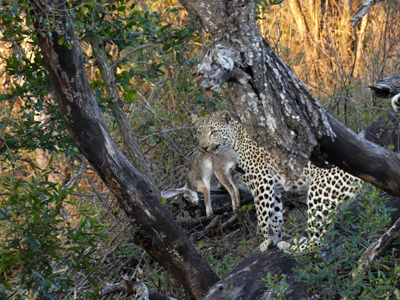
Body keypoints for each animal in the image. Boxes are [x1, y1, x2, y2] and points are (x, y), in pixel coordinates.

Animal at [192, 110, 364, 251]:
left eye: (213, 132)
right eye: (199, 133)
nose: (203, 147)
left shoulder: (261, 181)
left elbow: (262, 216)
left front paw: (267, 238)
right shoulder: (272, 187)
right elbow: (275, 215)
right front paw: (275, 238)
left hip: (319, 193)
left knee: (318, 240)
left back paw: (294, 247)